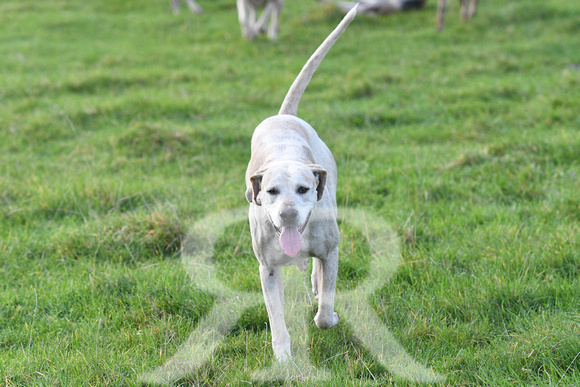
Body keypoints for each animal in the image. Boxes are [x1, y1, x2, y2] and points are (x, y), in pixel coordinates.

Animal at [242, 6, 356, 364]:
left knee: (317, 275)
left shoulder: (331, 252)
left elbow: (324, 313)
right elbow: (276, 316)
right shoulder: (267, 269)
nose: (289, 215)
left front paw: (329, 315)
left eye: (304, 189)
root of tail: (284, 116)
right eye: (271, 192)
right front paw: (282, 357)